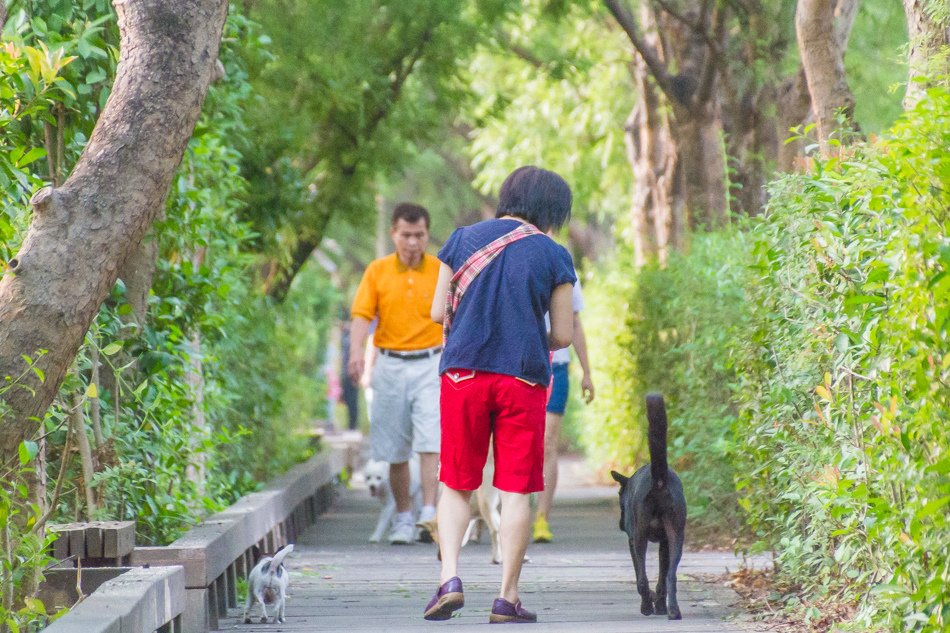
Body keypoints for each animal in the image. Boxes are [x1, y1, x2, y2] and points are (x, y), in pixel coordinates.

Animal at [612, 392, 688, 620]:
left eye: (619, 498)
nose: (620, 523)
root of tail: (659, 481)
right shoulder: (664, 543)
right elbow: (663, 576)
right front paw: (660, 604)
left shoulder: (632, 540)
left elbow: (640, 575)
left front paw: (653, 602)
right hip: (676, 534)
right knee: (671, 576)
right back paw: (672, 611)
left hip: (639, 537)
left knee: (643, 580)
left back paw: (647, 607)